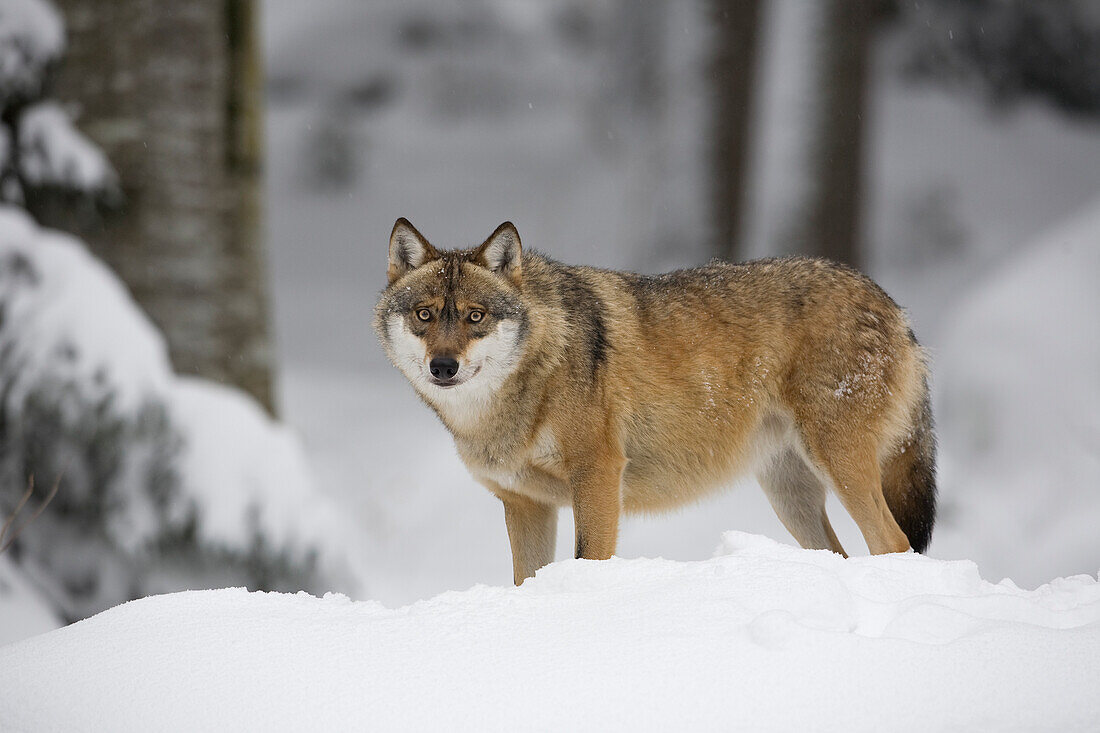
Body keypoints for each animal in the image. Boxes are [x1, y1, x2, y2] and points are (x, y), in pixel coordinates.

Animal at [374, 216, 932, 581]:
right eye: (425, 315)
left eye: (475, 316)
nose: (443, 367)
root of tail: (892, 305)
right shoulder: (526, 503)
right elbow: (526, 580)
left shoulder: (598, 475)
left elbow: (589, 561)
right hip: (790, 494)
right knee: (841, 554)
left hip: (839, 466)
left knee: (895, 544)